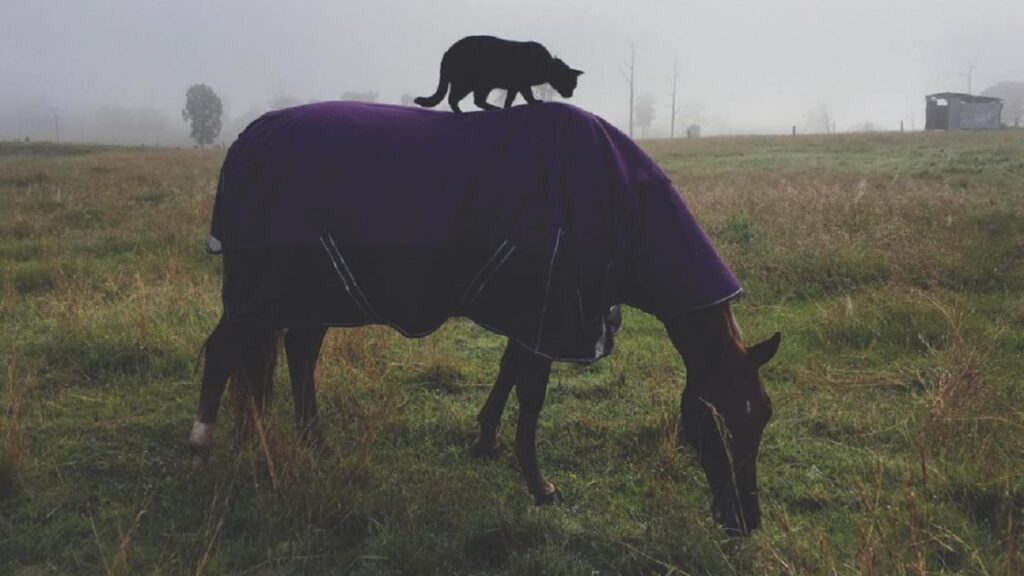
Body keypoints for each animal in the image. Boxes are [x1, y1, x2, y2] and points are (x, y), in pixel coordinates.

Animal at [192, 99, 778, 532]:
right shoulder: (548, 310)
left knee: (298, 352)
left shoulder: (532, 314)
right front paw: (538, 483)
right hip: (261, 292)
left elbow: (509, 373)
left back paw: (313, 442)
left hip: (314, 290)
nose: (746, 520)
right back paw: (205, 450)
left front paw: (485, 439)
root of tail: (246, 142)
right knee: (223, 352)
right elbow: (532, 395)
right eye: (718, 421)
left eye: (763, 416)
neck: (616, 199)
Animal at [411, 35, 581, 113]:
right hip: (470, 83)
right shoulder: (522, 83)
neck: (547, 65)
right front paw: (534, 102)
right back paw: (467, 112)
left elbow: (509, 99)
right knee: (456, 99)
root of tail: (447, 53)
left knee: (473, 100)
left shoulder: (514, 86)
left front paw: (506, 108)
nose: (571, 95)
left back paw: (492, 108)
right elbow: (528, 95)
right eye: (571, 84)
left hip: (479, 85)